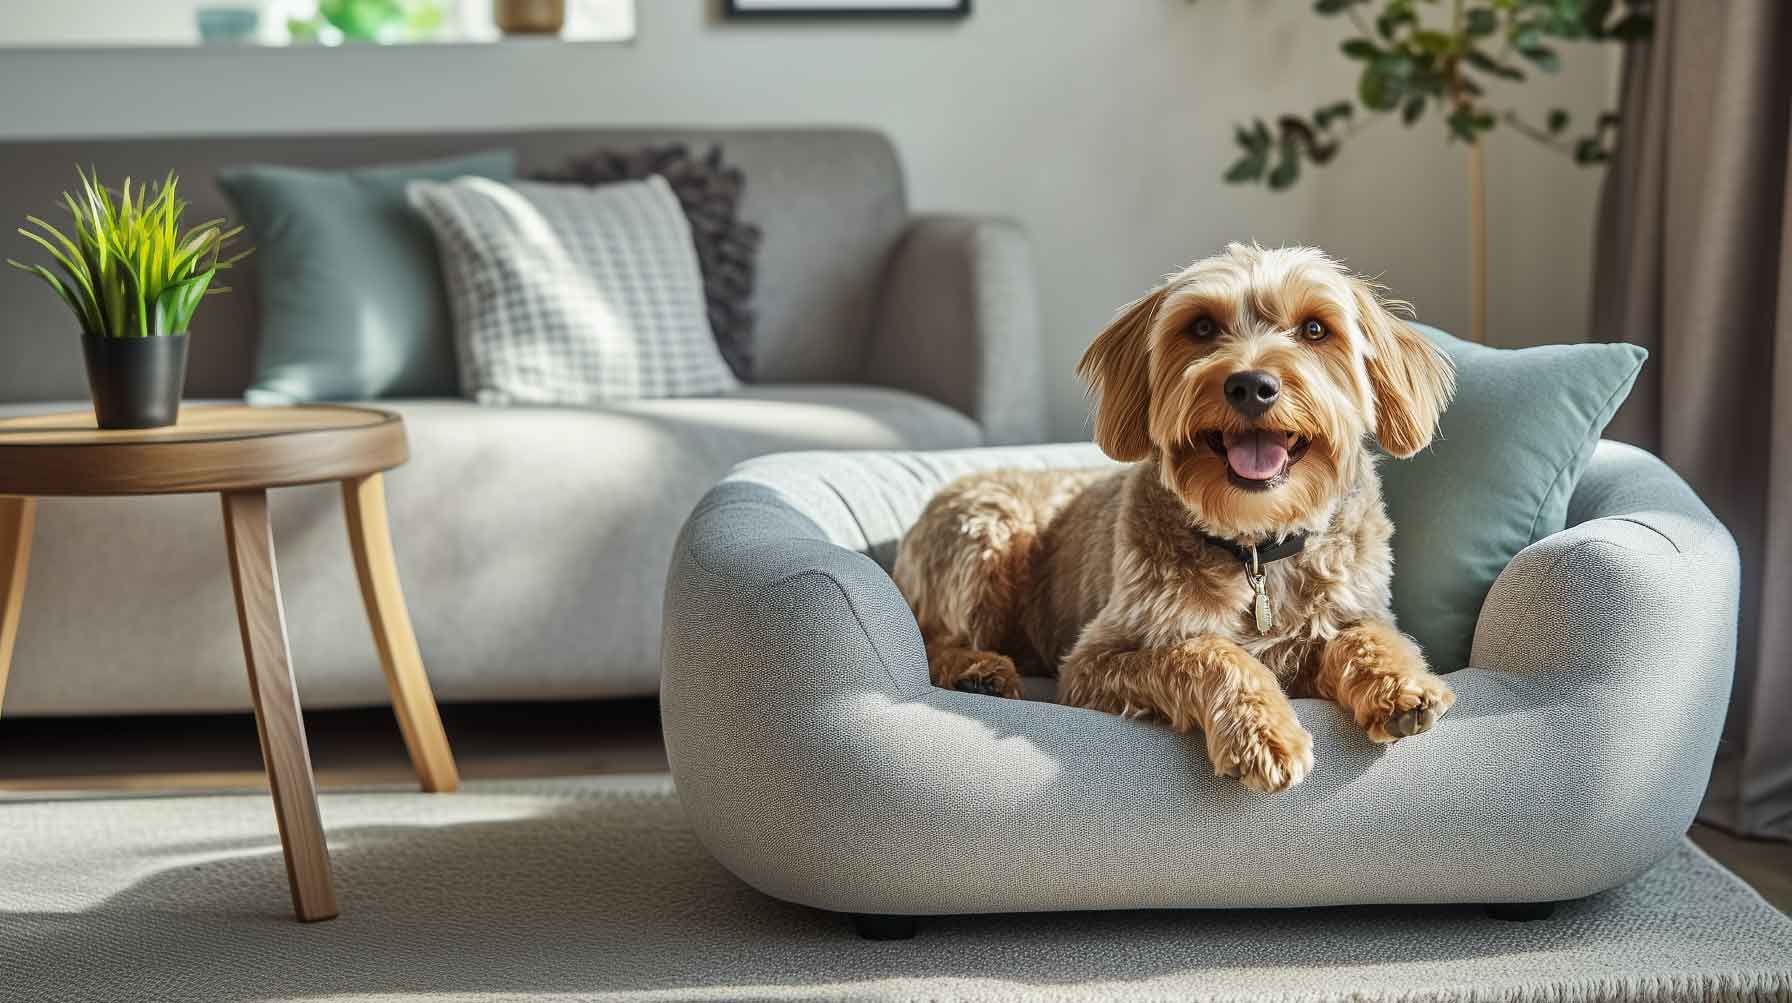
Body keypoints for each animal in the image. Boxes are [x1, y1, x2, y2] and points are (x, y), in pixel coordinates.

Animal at [892, 243, 1455, 791]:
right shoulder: (1091, 664)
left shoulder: (1345, 616)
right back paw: (977, 669)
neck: (1255, 546)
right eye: (1202, 327)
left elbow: (1365, 636)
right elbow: (1207, 652)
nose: (1251, 385)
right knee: (935, 636)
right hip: (987, 531)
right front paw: (1261, 733)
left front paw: (1403, 685)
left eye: (1315, 329)